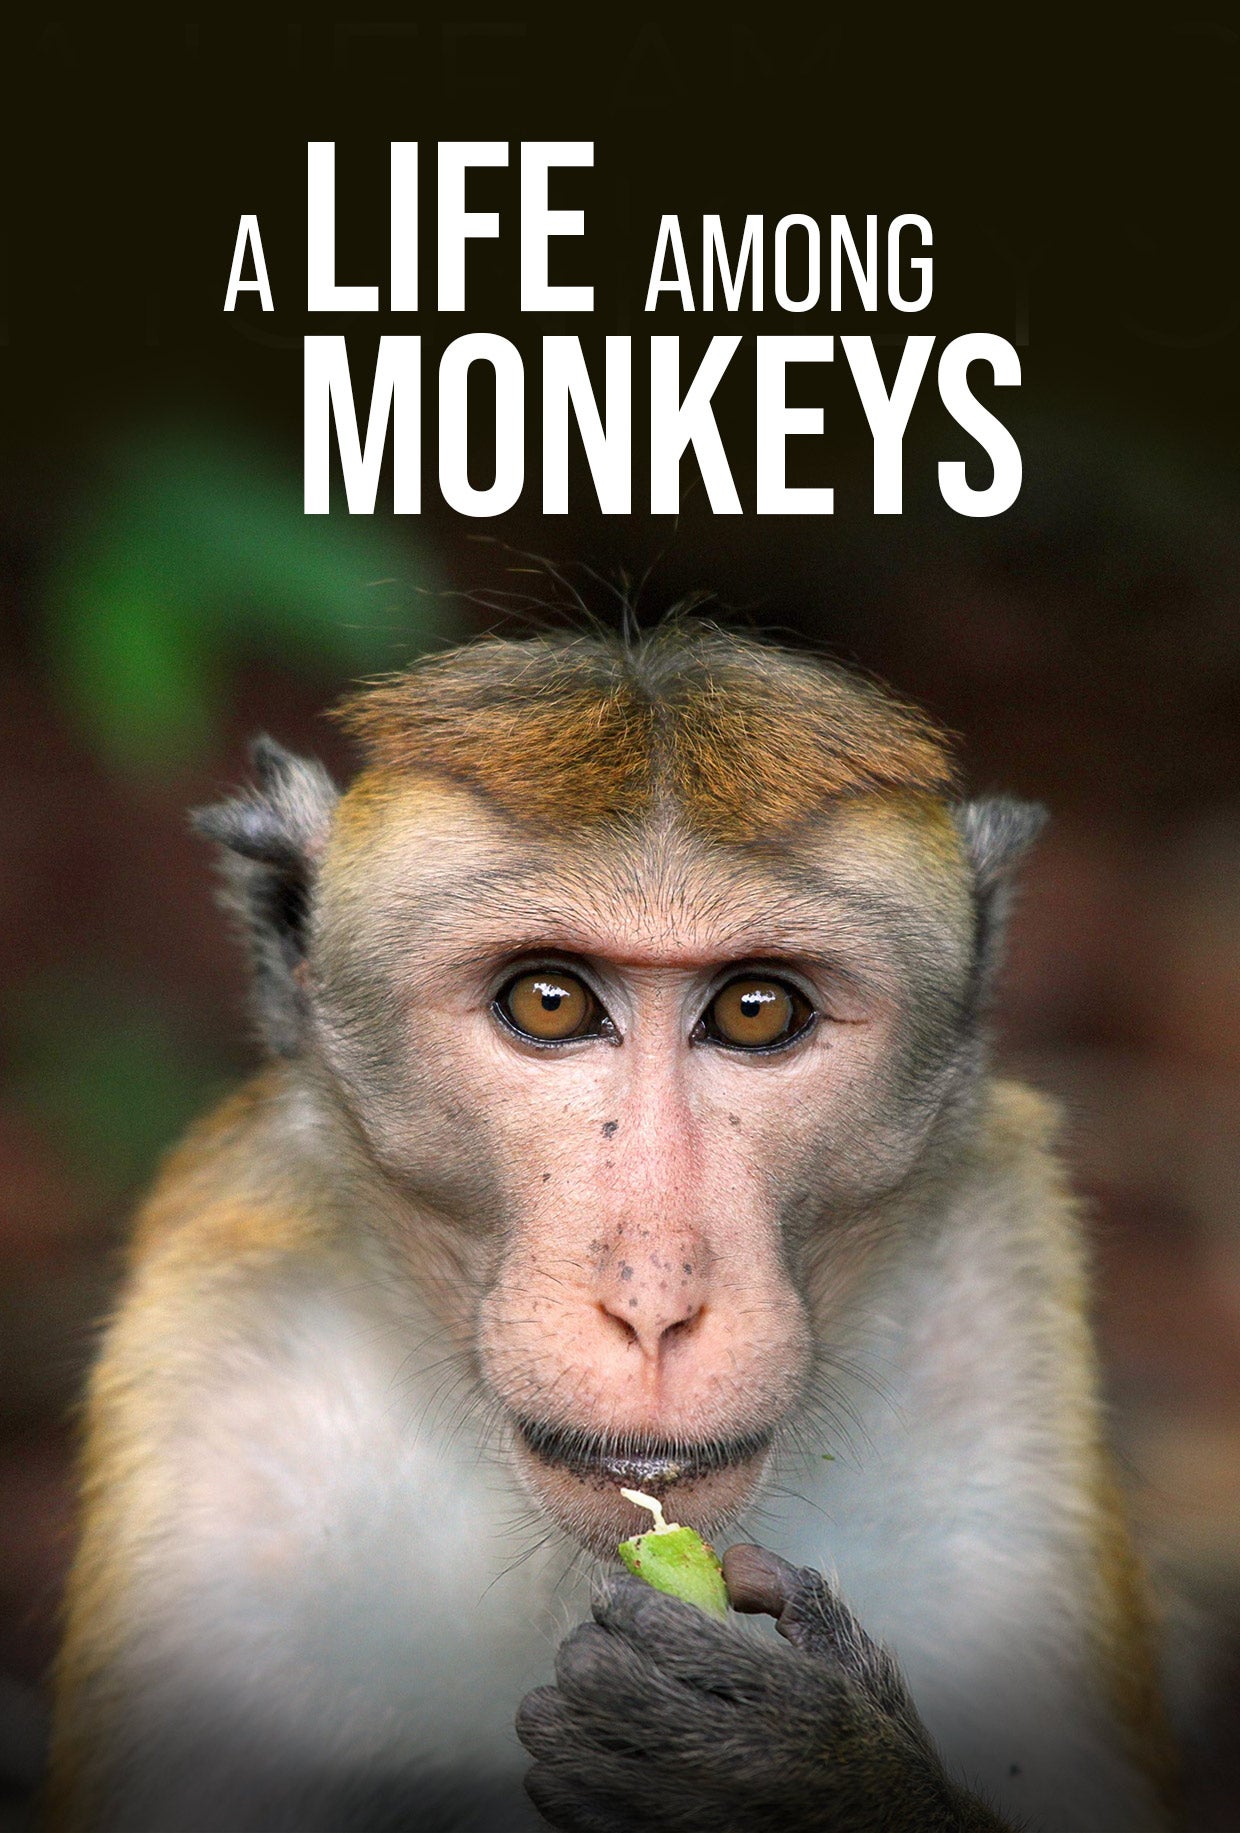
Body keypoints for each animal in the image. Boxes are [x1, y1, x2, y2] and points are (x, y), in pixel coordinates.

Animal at [46, 619, 1176, 1832]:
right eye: (548, 1002)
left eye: (756, 1009)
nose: (653, 1302)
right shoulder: (232, 1404)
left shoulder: (994, 1336)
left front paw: (792, 1772)